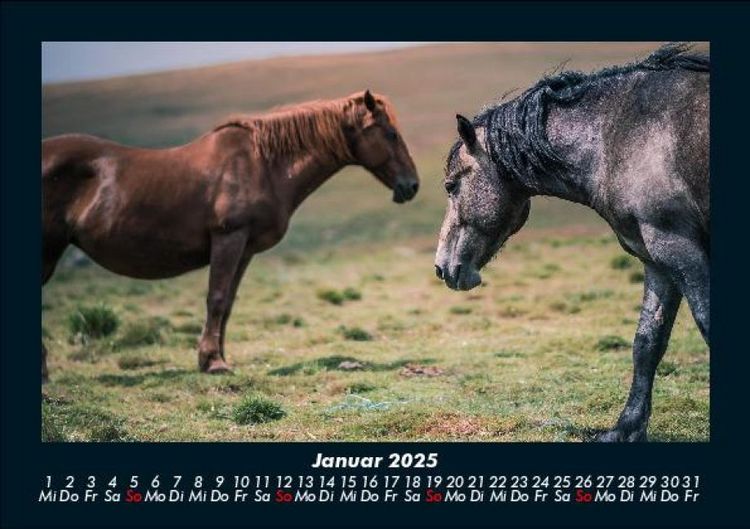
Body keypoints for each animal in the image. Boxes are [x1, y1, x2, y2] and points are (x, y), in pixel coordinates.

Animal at [42, 90, 419, 380]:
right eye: (390, 134)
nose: (412, 186)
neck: (262, 164)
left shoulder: (245, 249)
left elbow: (229, 303)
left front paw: (215, 357)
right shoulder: (229, 239)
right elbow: (217, 298)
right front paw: (213, 362)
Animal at [434, 44, 709, 441]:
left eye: (451, 185)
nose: (442, 267)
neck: (620, 135)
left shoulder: (681, 250)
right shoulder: (659, 260)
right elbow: (647, 342)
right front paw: (625, 429)